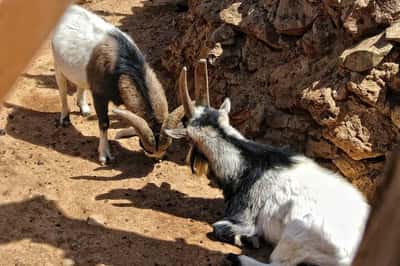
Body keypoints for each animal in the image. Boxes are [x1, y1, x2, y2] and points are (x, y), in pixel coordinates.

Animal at [51, 5, 183, 164]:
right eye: (148, 149)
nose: (158, 160)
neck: (121, 63)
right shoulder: (99, 95)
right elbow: (104, 123)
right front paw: (104, 154)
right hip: (58, 64)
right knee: (62, 90)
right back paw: (65, 118)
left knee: (80, 84)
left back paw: (84, 108)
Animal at [164, 60, 370, 266]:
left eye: (189, 139)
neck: (247, 163)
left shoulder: (245, 217)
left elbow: (220, 228)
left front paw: (245, 239)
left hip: (297, 235)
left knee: (278, 263)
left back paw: (237, 257)